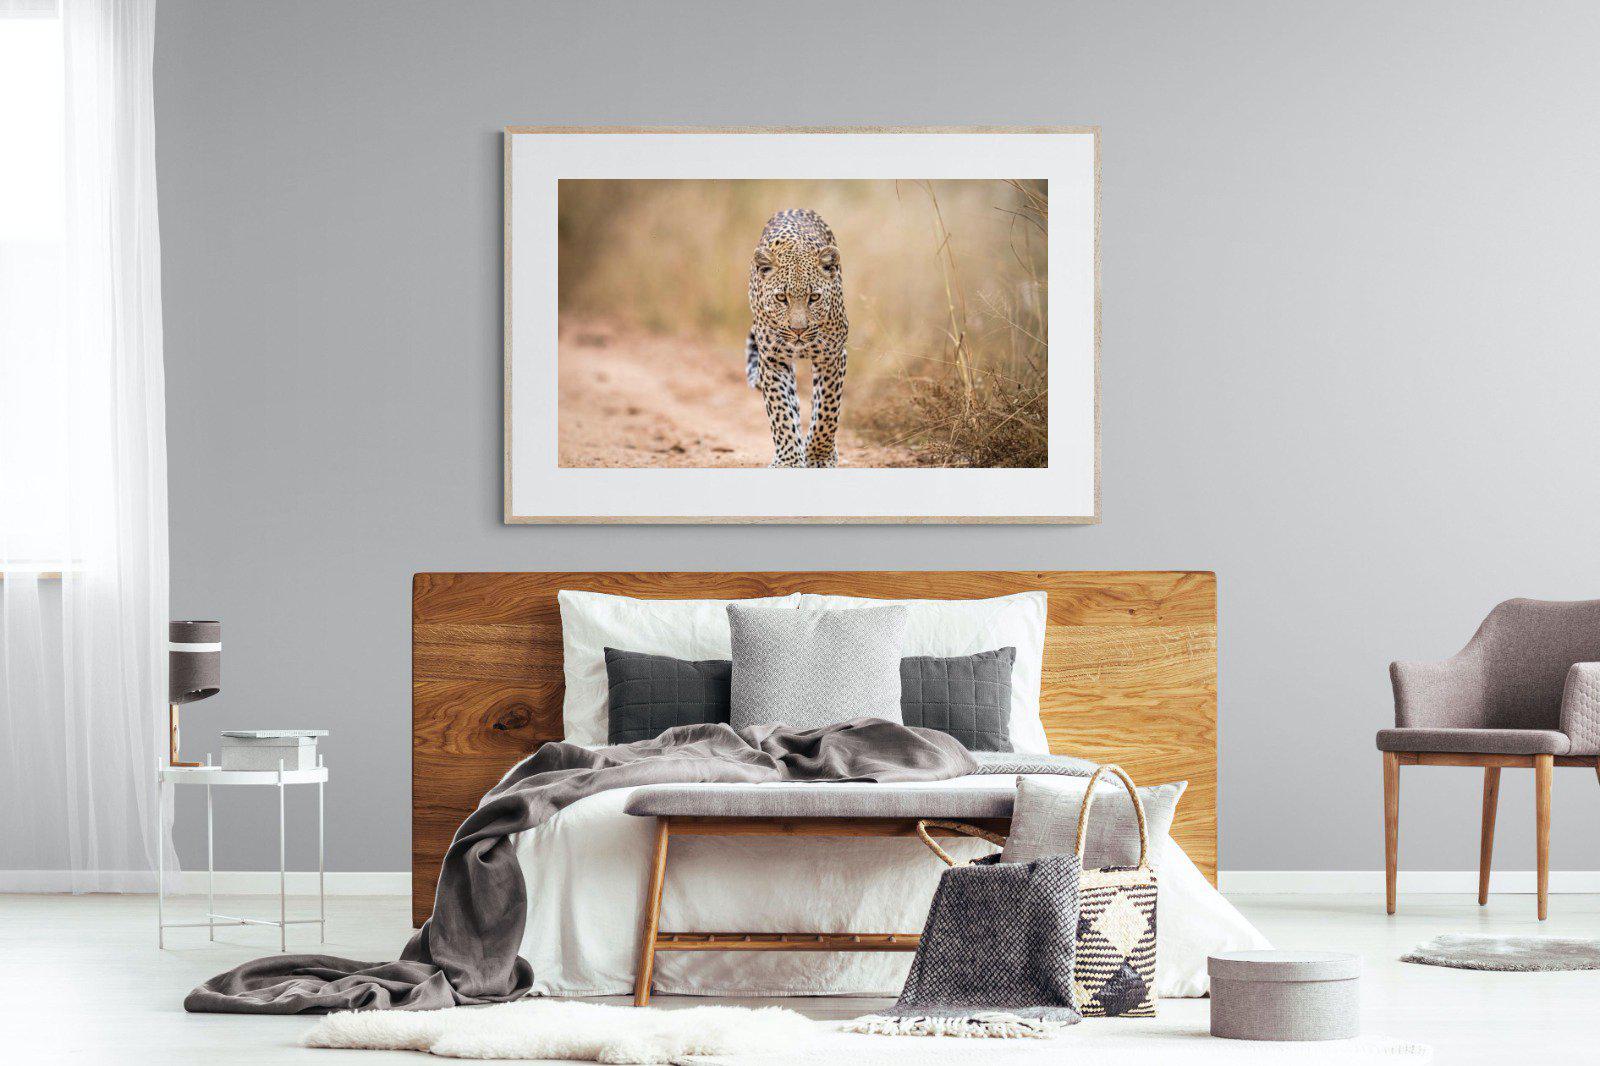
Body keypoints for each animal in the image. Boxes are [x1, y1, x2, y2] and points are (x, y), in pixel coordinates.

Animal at [744, 208, 848, 468]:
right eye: (782, 298)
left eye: (814, 297)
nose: (798, 330)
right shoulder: (773, 360)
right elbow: (781, 410)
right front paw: (789, 460)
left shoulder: (832, 356)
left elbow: (827, 410)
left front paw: (819, 457)